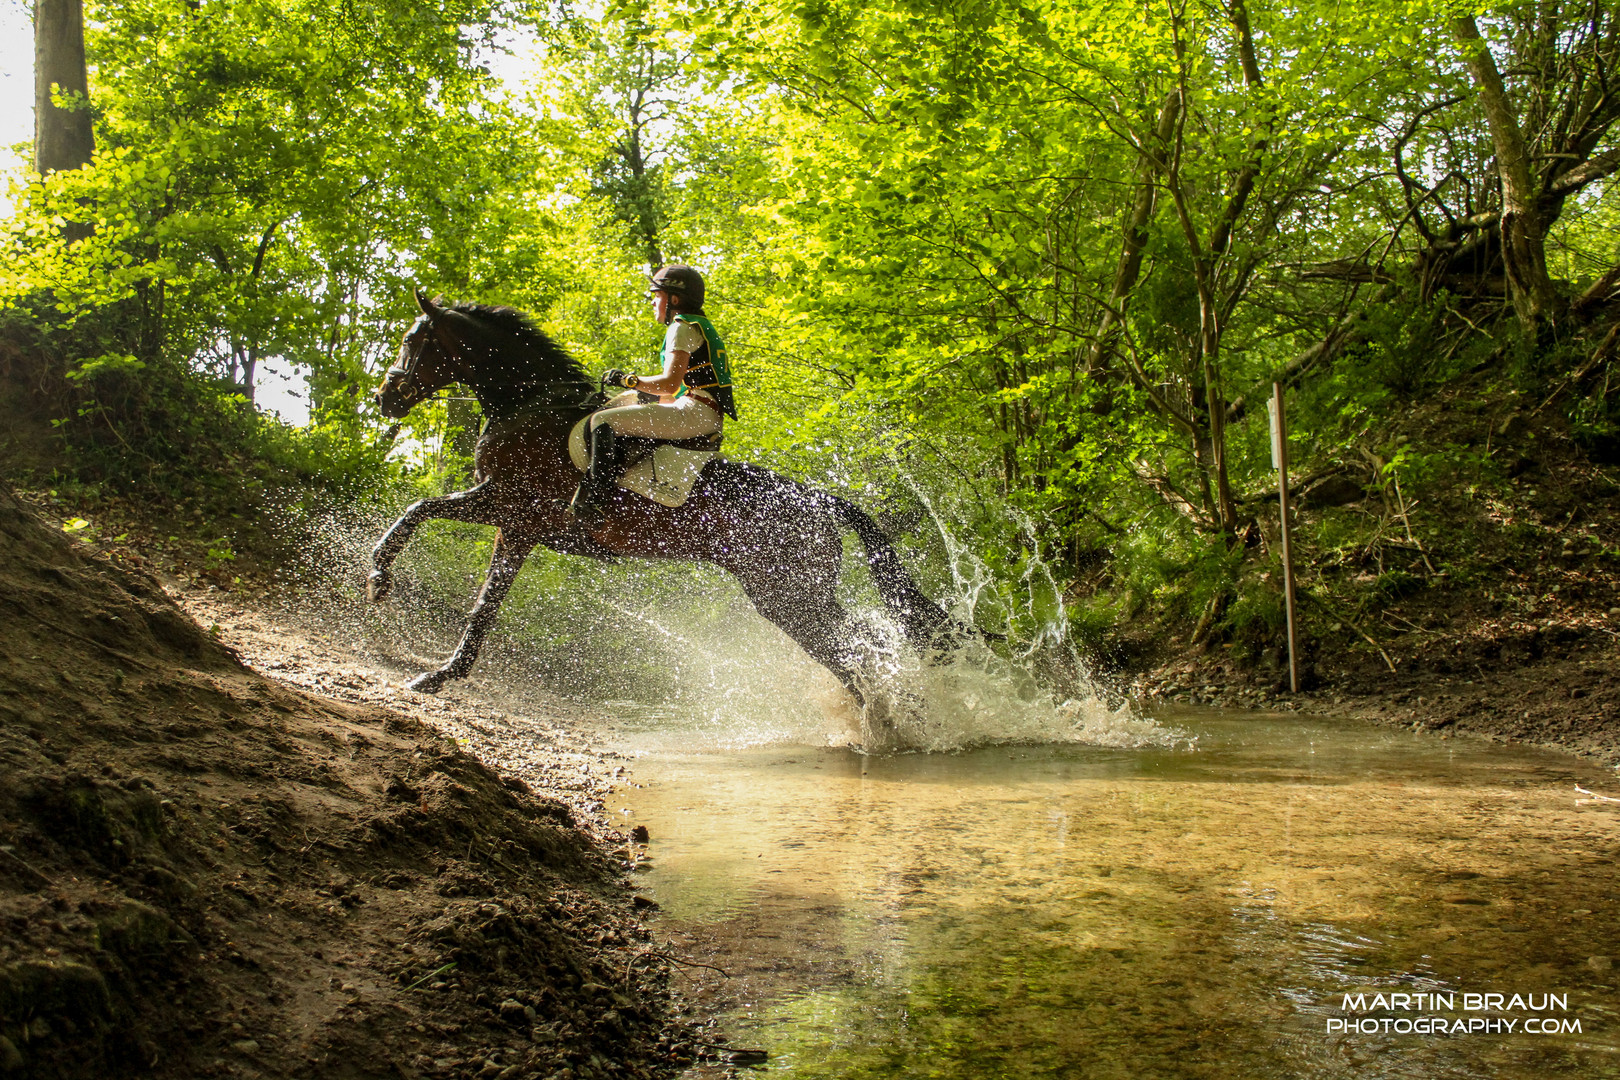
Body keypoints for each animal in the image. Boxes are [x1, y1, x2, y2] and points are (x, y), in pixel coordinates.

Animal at [367, 291, 946, 696]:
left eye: (413, 343)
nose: (385, 397)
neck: (530, 404)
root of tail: (823, 501)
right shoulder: (515, 524)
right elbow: (479, 593)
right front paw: (437, 667)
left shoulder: (510, 506)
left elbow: (424, 516)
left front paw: (380, 579)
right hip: (790, 596)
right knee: (863, 649)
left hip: (788, 594)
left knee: (859, 651)